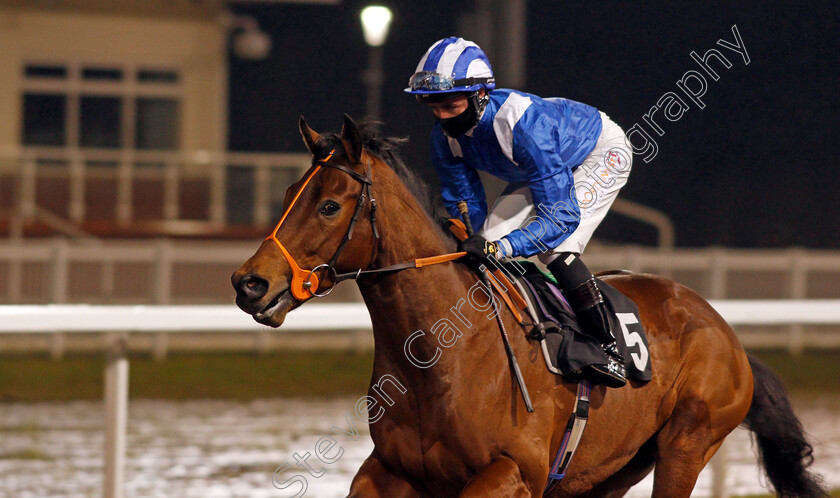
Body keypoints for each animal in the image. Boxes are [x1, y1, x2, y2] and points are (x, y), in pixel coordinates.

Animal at [233, 115, 824, 498]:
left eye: (330, 206)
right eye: (287, 194)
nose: (250, 283)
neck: (441, 358)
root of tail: (726, 331)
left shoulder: (514, 471)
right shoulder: (388, 472)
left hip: (686, 445)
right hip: (609, 471)